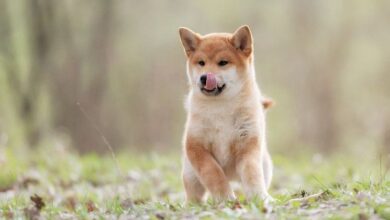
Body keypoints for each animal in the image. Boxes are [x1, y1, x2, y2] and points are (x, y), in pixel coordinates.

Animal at [179, 25, 272, 203]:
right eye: (201, 63)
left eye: (223, 63)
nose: (204, 77)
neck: (221, 107)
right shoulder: (195, 145)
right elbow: (213, 172)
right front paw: (225, 198)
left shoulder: (248, 143)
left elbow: (251, 173)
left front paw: (259, 197)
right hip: (191, 175)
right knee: (194, 193)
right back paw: (193, 205)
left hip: (266, 166)